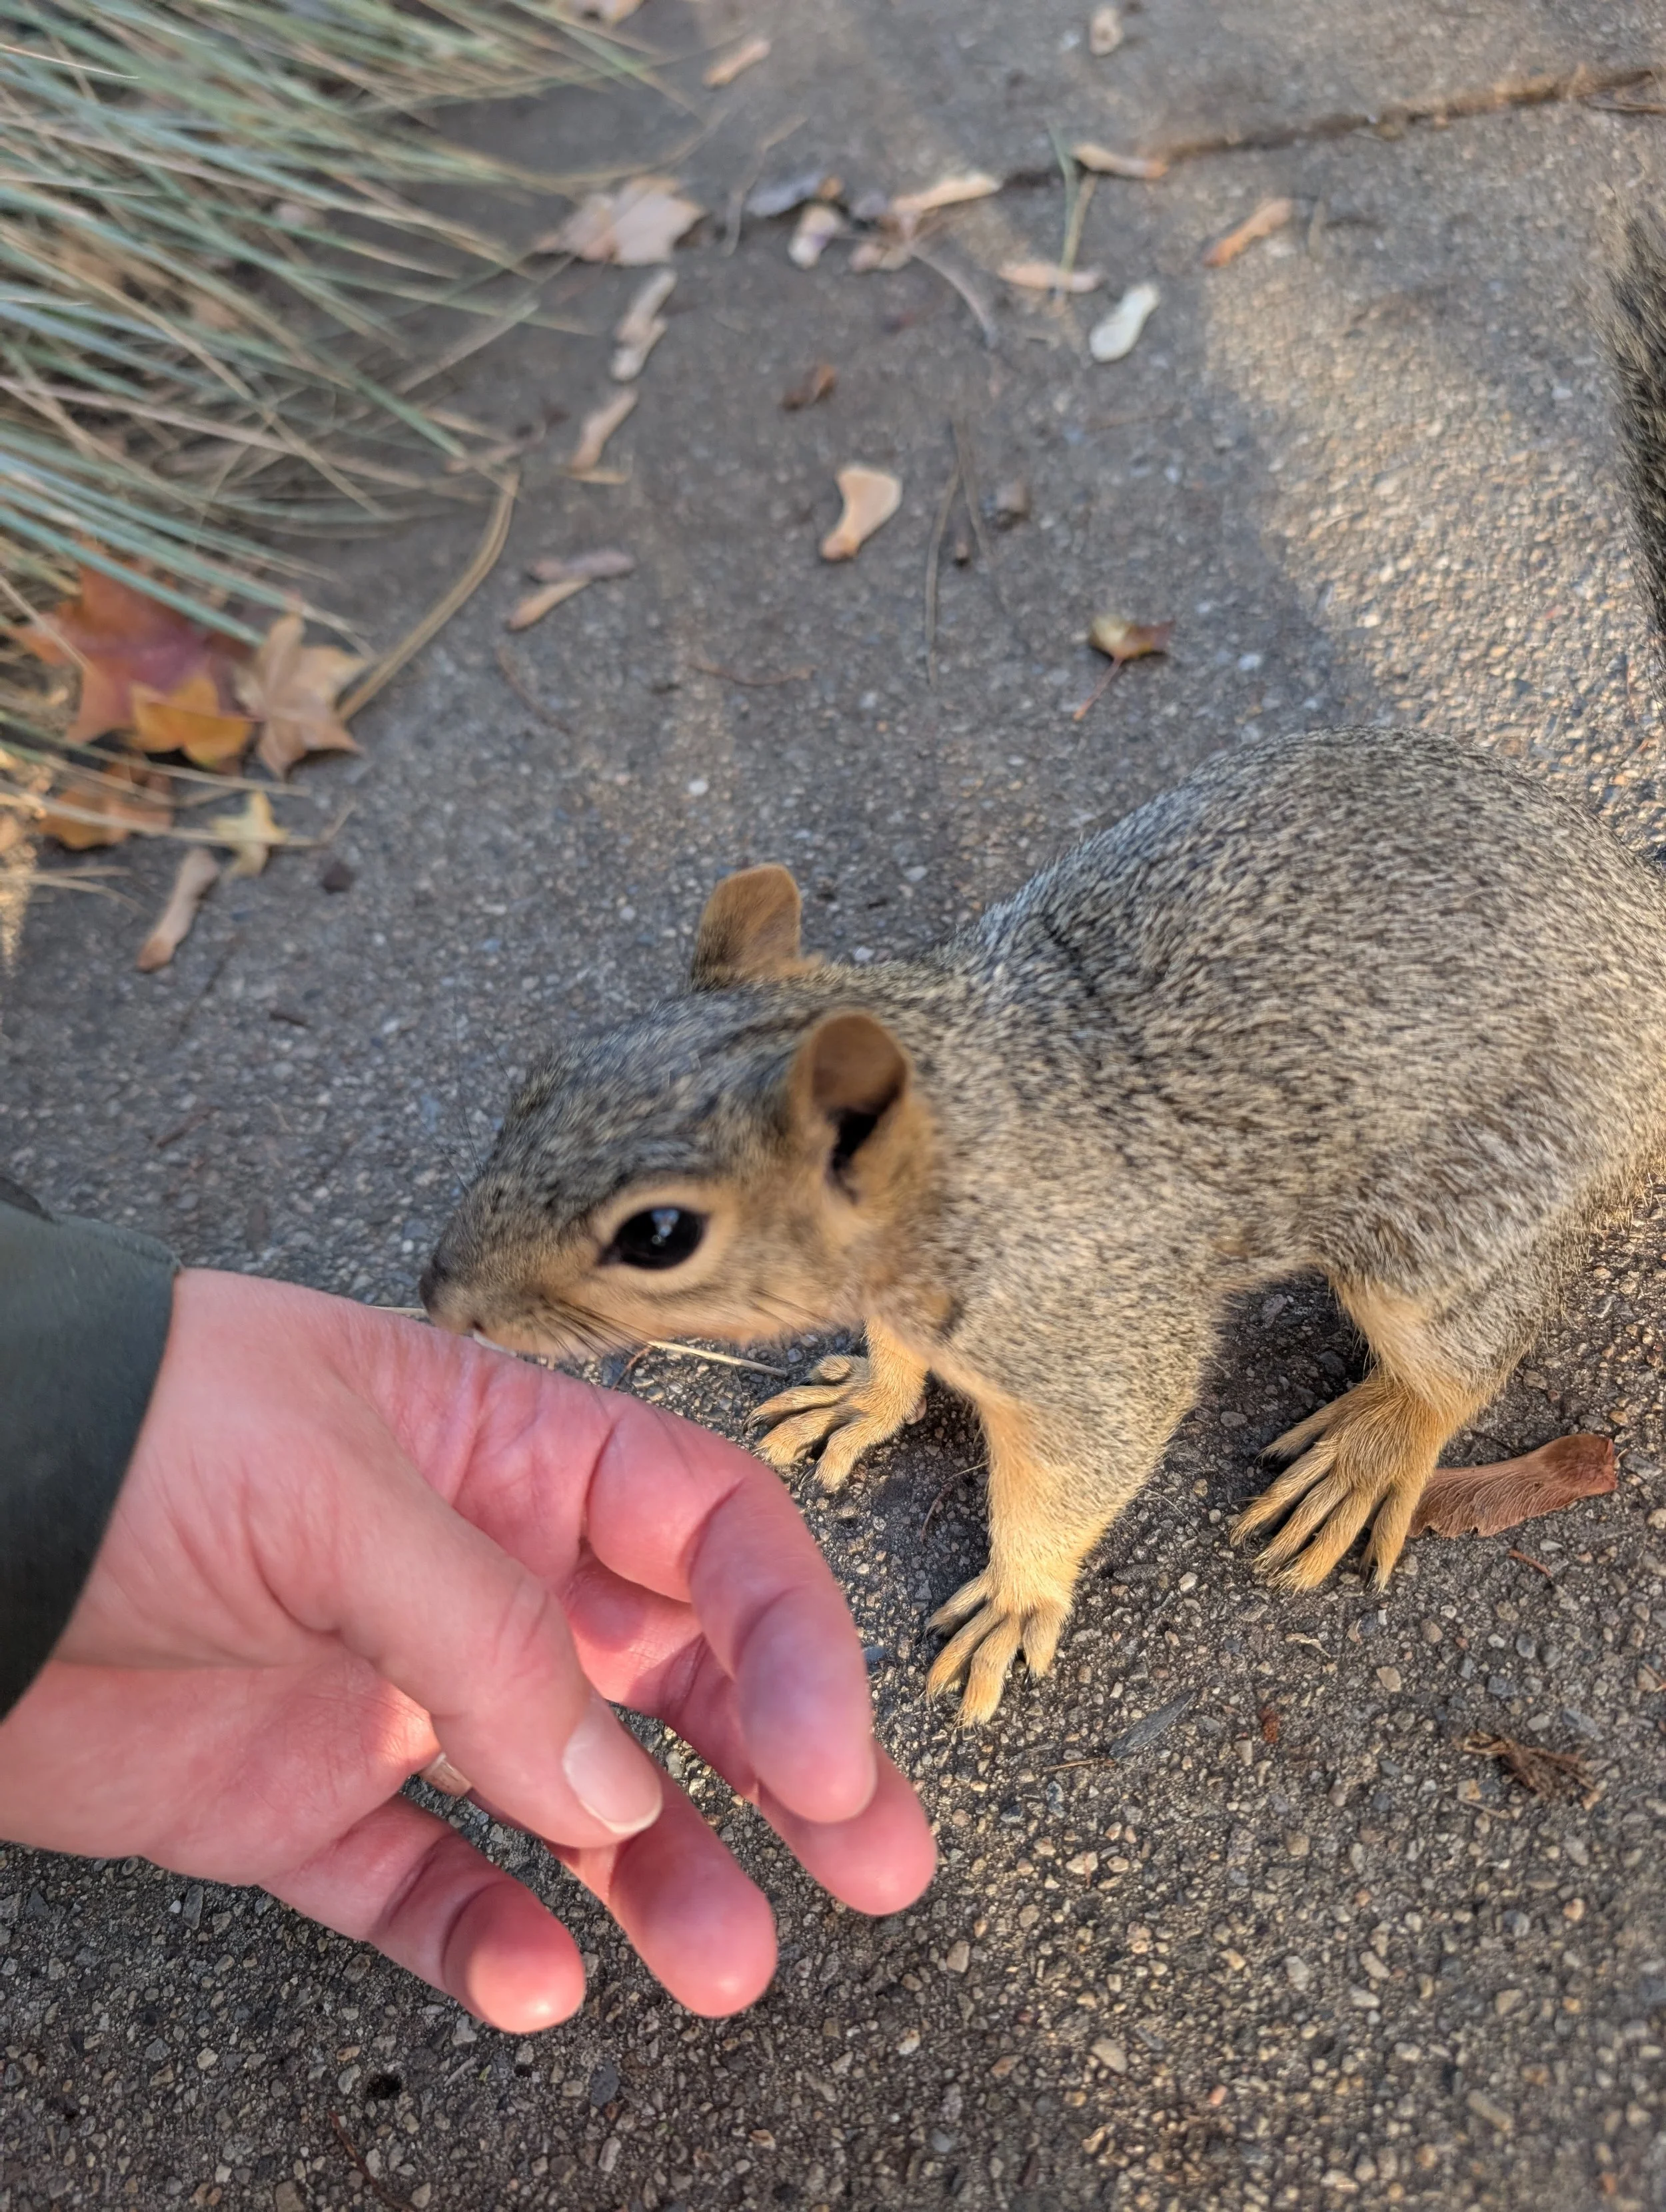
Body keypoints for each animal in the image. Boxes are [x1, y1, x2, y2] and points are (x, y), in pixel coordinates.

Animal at [424, 216, 1666, 1725]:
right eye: (539, 1078)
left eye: (658, 1235)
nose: (440, 1300)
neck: (968, 1140)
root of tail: (1641, 921)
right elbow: (902, 1361)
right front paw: (865, 1399)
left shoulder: (1093, 1335)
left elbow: (1074, 1469)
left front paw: (1016, 1595)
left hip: (1451, 1223)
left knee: (1463, 1350)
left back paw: (1376, 1444)